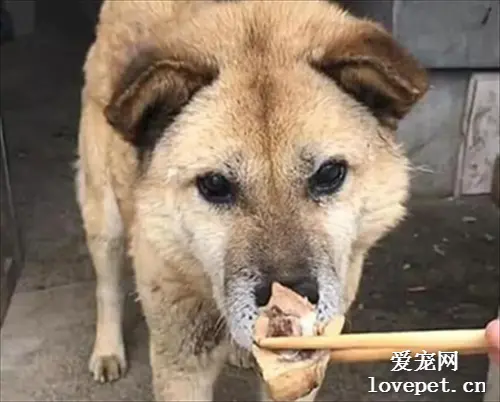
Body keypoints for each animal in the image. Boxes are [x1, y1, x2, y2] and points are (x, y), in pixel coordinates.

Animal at [76, 1, 428, 400]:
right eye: (215, 184)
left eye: (328, 174)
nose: (290, 306)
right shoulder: (181, 363)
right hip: (104, 218)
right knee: (107, 286)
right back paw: (107, 351)